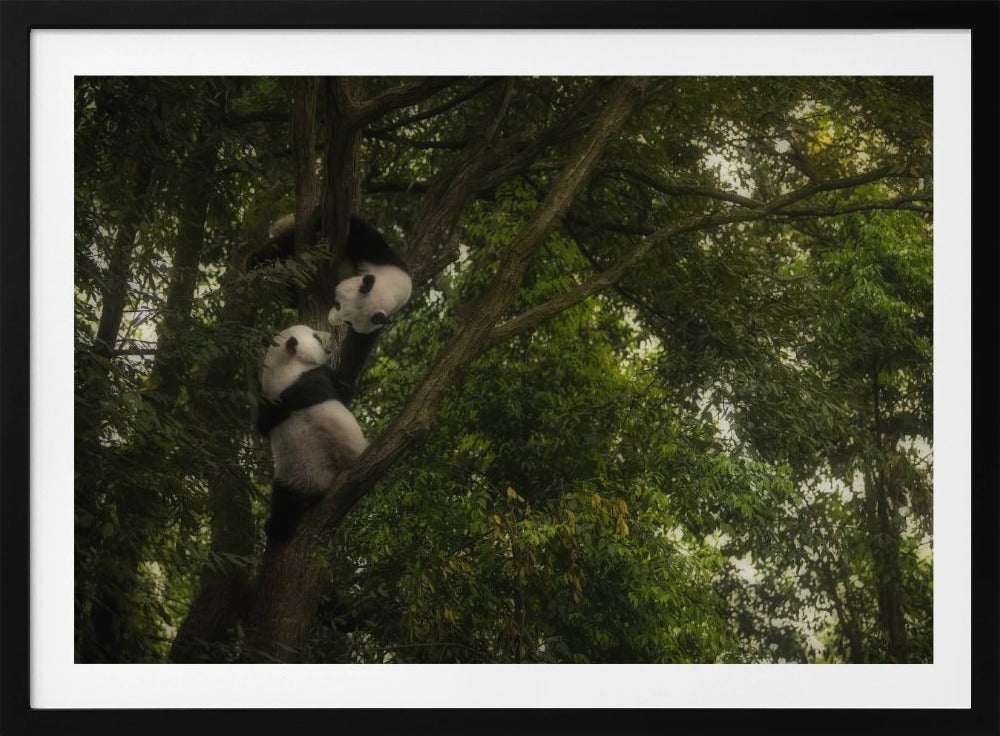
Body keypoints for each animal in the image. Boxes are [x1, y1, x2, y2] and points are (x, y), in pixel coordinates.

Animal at [257, 324, 369, 541]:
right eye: (316, 336)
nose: (331, 335)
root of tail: (316, 488)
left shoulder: (268, 404)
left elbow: (262, 425)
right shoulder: (315, 378)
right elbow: (342, 394)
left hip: (290, 478)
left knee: (282, 501)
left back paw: (275, 528)